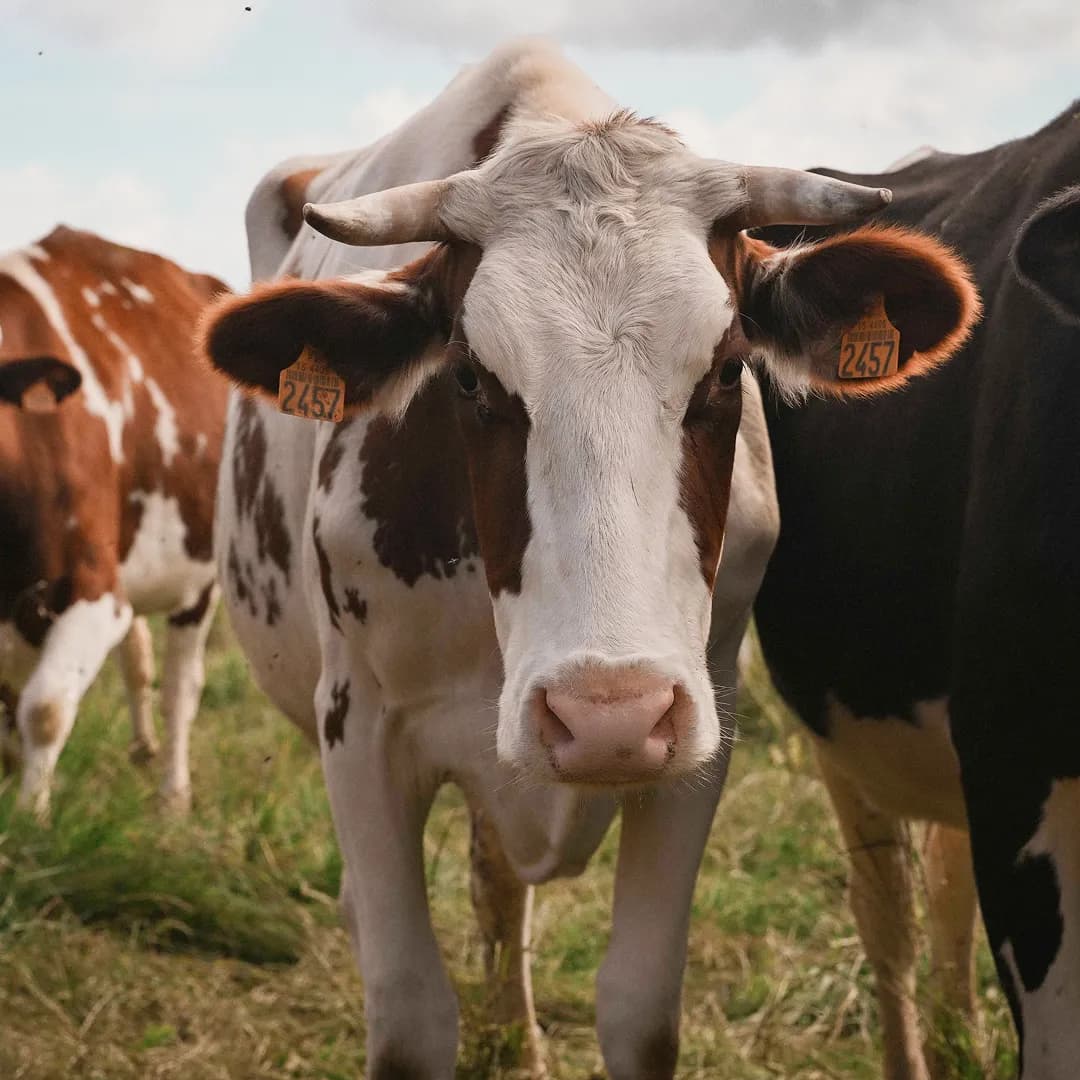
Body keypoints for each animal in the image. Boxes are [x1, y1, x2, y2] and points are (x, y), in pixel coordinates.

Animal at [0, 227, 230, 819]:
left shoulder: (96, 590)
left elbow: (46, 708)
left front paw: (31, 820)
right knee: (138, 662)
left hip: (202, 574)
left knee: (180, 689)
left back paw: (173, 795)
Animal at [199, 40, 978, 1078]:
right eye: (469, 378)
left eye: (728, 367)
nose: (607, 717)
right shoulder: (357, 725)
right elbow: (408, 1011)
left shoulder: (702, 723)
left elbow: (639, 1005)